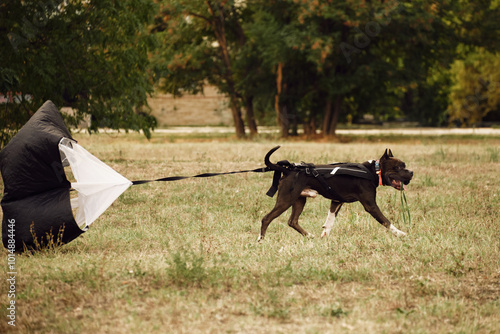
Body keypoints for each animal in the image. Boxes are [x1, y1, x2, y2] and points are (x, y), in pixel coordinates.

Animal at [258, 147, 414, 241]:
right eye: (398, 167)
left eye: (405, 166)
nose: (412, 172)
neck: (373, 171)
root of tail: (288, 169)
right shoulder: (371, 206)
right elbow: (386, 221)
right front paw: (400, 233)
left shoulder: (337, 201)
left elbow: (330, 221)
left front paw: (325, 236)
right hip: (286, 200)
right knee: (266, 218)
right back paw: (261, 240)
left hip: (299, 200)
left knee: (292, 221)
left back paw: (309, 235)